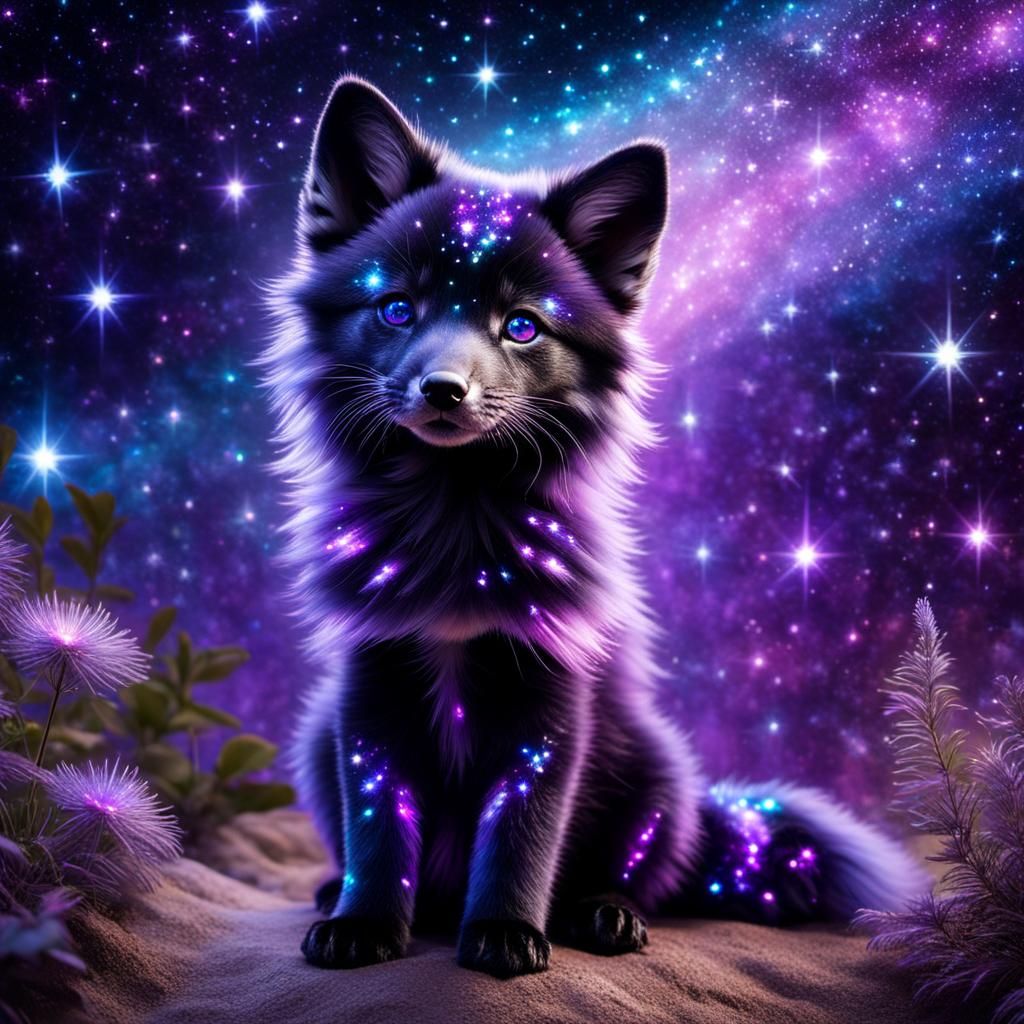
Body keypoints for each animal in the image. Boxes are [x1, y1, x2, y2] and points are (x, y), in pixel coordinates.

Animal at [262, 77, 926, 978]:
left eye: (523, 326)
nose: (444, 390)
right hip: (314, 734)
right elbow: (378, 829)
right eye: (395, 309)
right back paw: (340, 892)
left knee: (639, 875)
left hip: (658, 770)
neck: (455, 521)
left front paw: (505, 934)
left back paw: (605, 915)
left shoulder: (554, 702)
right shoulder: (370, 685)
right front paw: (362, 924)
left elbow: (522, 834)